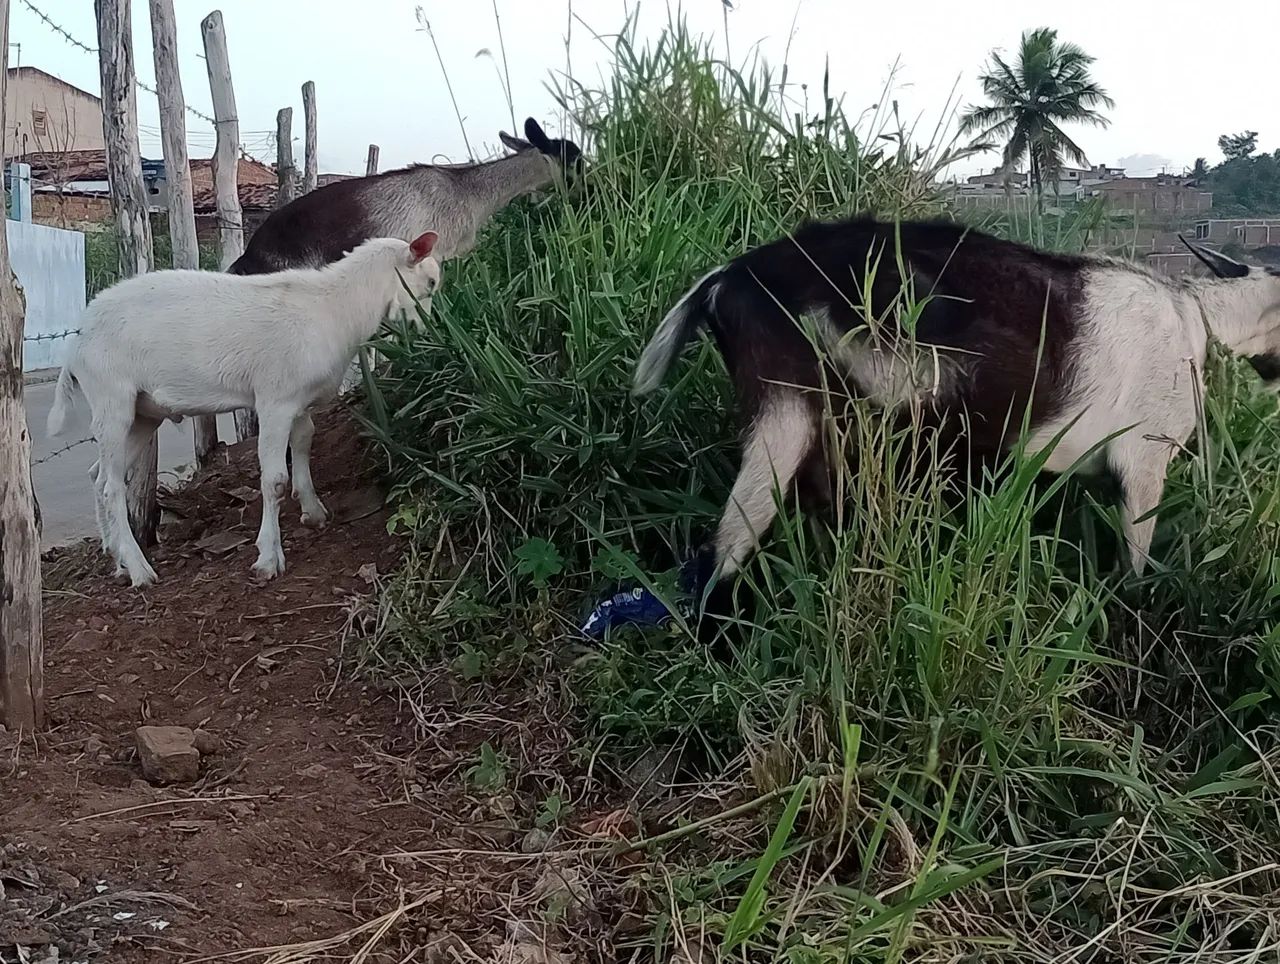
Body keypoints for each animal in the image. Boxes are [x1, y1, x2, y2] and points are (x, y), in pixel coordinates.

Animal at [47, 232, 442, 588]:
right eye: (432, 283)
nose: (431, 337)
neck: (335, 308)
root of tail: (77, 338)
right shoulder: (274, 400)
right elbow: (274, 480)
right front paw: (268, 558)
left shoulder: (299, 401)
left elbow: (305, 442)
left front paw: (313, 511)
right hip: (111, 396)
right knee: (112, 486)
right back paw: (140, 570)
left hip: (144, 414)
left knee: (99, 476)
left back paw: (116, 558)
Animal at [633, 216, 1280, 606]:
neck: (1197, 316)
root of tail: (732, 277)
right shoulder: (1145, 464)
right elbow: (1134, 567)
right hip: (796, 405)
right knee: (723, 551)